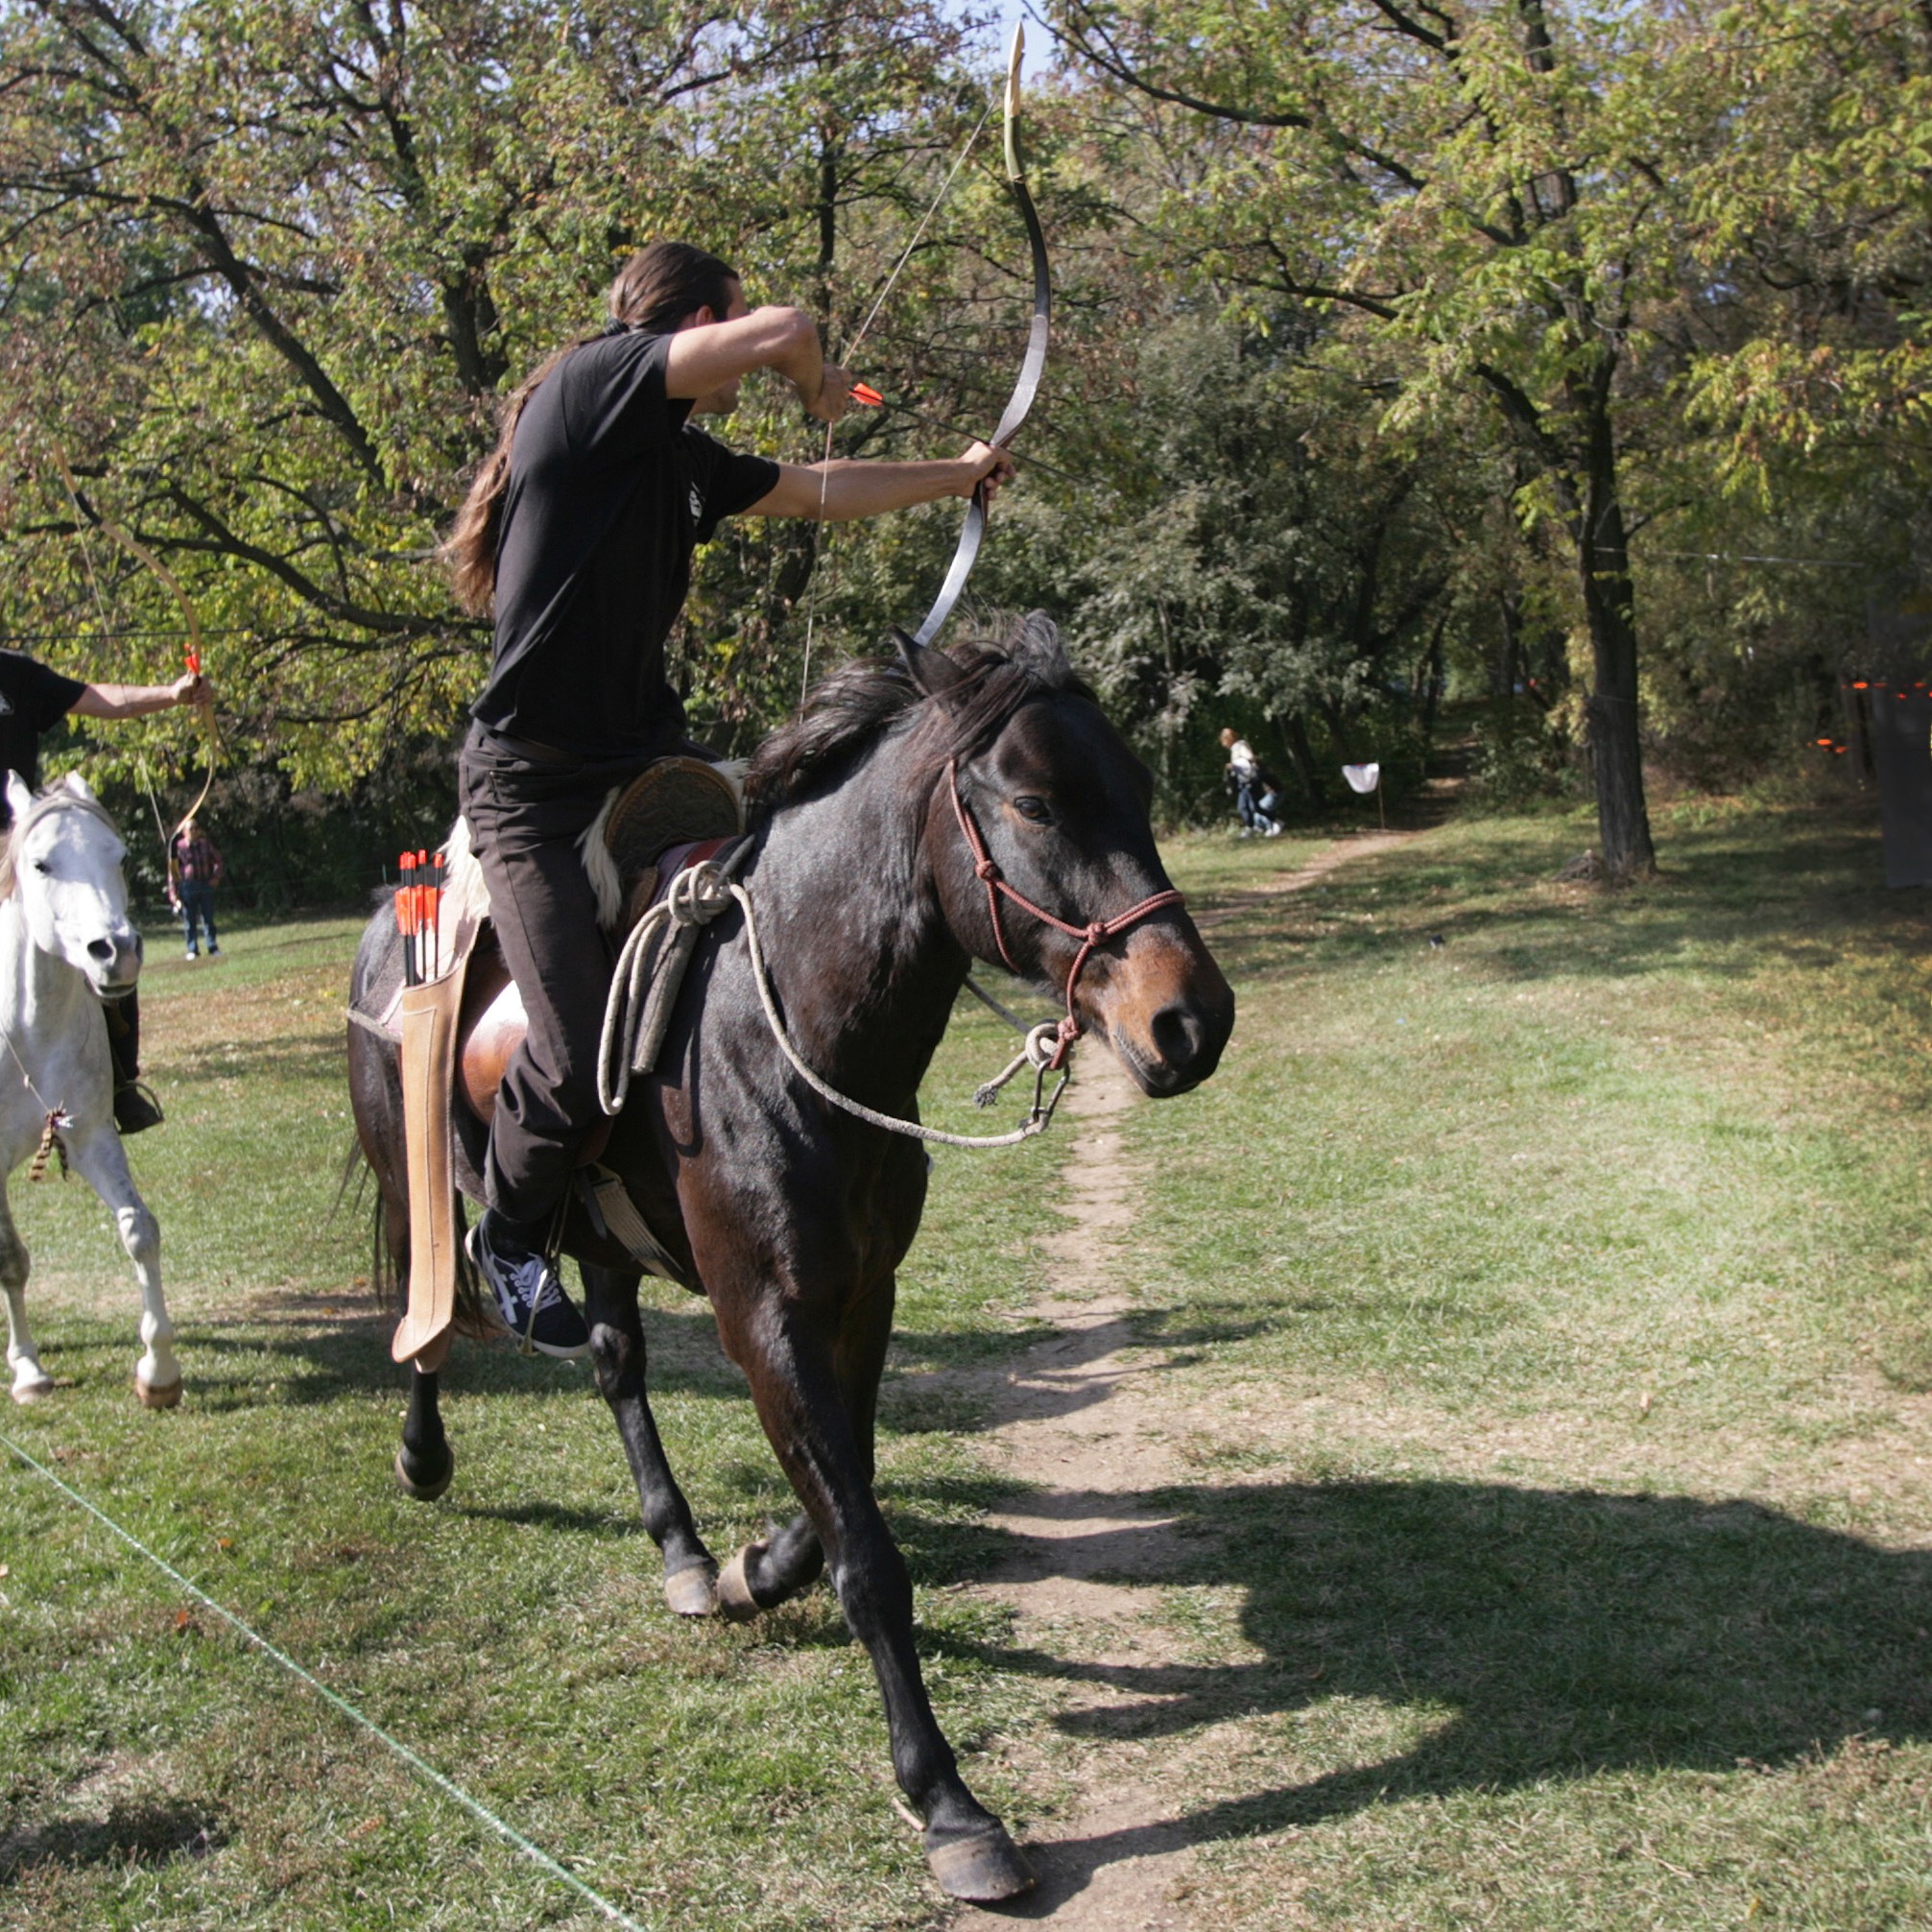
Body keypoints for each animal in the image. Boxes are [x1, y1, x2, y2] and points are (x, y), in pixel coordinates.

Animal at [0, 769, 175, 1406]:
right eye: (41, 864)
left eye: (119, 856)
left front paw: (158, 1371)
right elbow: (9, 1259)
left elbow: (139, 1231)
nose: (115, 951)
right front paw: (28, 1370)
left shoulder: (92, 1135)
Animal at [344, 622, 1236, 1900]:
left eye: (1143, 789)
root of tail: (390, 918)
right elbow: (868, 1560)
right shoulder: (761, 1315)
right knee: (427, 1311)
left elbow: (838, 1509)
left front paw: (754, 1566)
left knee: (615, 1363)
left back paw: (679, 1546)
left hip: (607, 1238)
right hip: (409, 1168)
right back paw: (425, 1455)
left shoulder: (858, 1303)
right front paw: (948, 1802)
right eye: (1034, 802)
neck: (788, 1032)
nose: (1191, 1022)